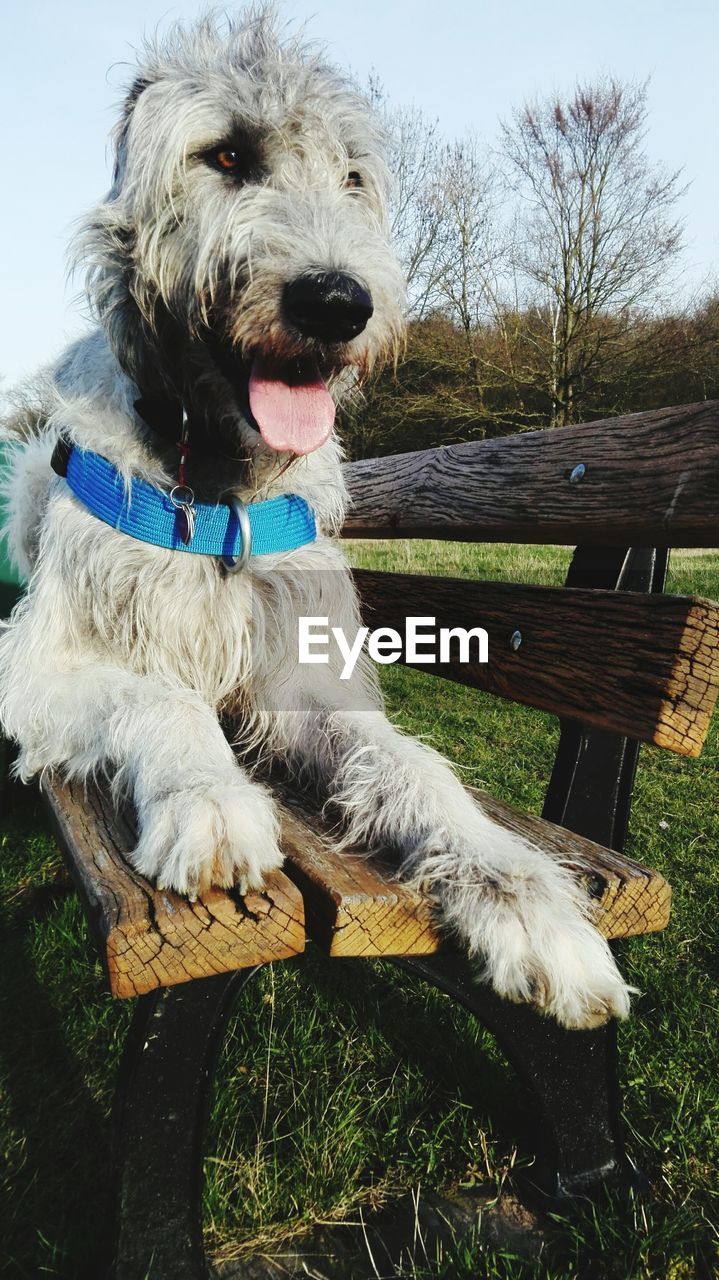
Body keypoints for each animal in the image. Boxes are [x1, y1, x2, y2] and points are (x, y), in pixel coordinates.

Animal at [0, 7, 626, 1029]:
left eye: (353, 178)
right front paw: (209, 795)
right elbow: (160, 696)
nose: (337, 302)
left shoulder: (305, 675)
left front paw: (519, 894)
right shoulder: (38, 666)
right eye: (225, 155)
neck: (219, 490)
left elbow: (412, 767)